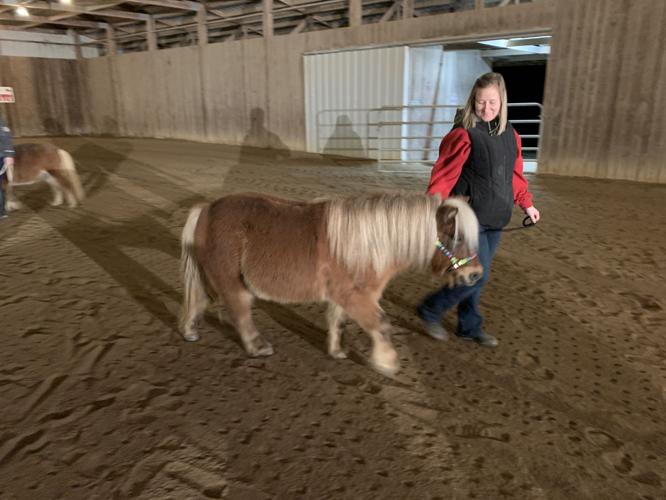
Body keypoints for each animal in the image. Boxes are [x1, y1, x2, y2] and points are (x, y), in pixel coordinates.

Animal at [179, 192, 482, 376]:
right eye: (457, 237)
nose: (476, 275)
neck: (369, 244)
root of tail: (206, 210)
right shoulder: (356, 297)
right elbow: (381, 325)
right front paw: (386, 362)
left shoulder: (343, 297)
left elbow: (338, 321)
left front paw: (337, 351)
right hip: (232, 282)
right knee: (240, 312)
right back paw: (257, 346)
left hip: (211, 276)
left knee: (200, 299)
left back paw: (190, 331)